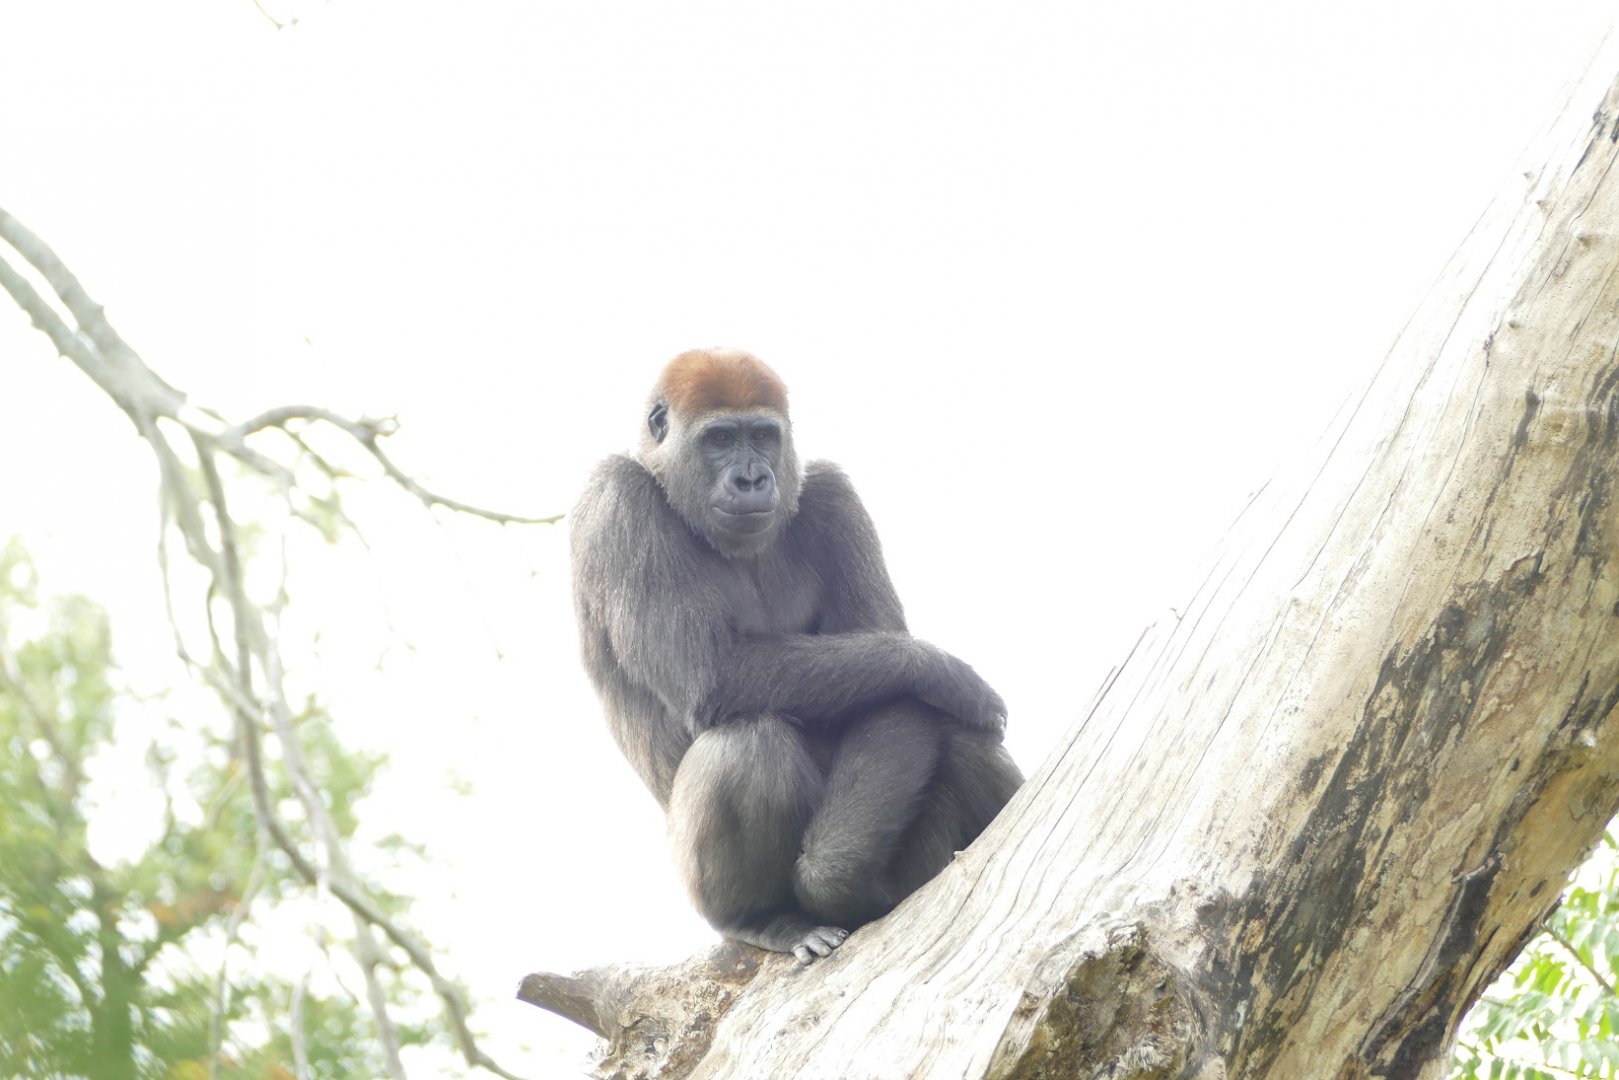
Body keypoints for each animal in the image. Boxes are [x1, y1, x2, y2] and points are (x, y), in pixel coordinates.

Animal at [571, 348, 1022, 963]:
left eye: (763, 437)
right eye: (719, 440)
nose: (752, 478)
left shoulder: (832, 493)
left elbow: (896, 694)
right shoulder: (615, 500)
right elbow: (717, 678)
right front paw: (939, 670)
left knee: (952, 734)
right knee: (746, 746)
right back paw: (765, 918)